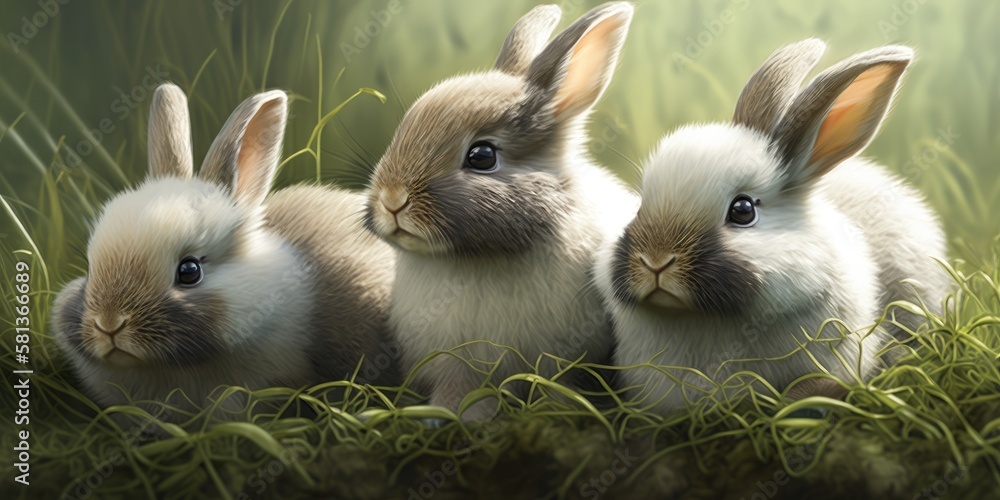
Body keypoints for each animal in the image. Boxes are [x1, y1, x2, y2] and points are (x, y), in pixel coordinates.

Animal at [363, 3, 640, 421]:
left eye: (482, 156)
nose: (392, 199)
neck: (478, 257)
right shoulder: (453, 362)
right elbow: (458, 388)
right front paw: (448, 415)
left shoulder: (561, 354)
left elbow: (558, 383)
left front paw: (557, 411)